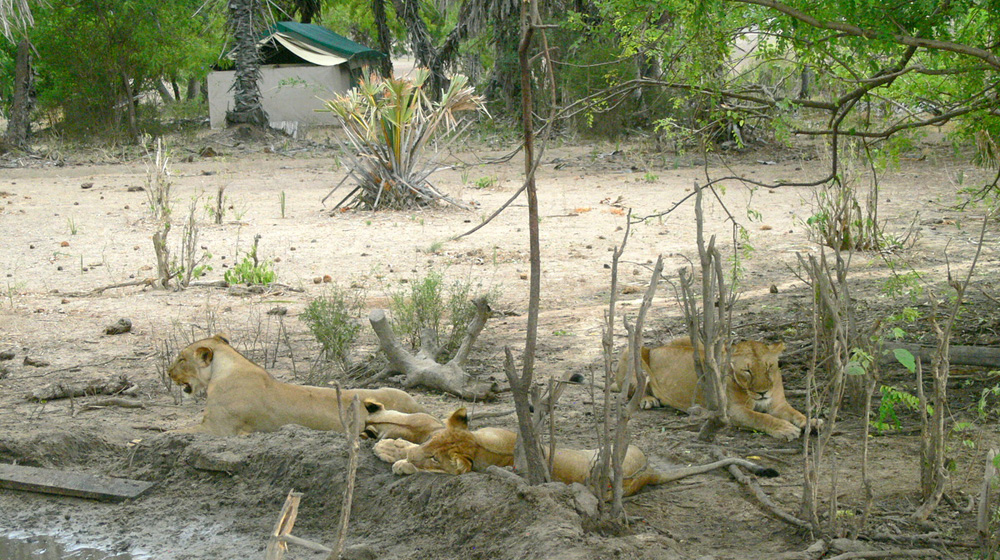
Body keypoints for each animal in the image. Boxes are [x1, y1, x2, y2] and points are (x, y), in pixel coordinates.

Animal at [608, 336, 820, 442]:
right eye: (747, 371)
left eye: (769, 367)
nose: (762, 393)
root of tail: (656, 348)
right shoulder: (732, 411)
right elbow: (761, 417)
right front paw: (785, 428)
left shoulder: (778, 404)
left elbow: (796, 413)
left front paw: (812, 422)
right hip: (632, 350)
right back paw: (648, 399)